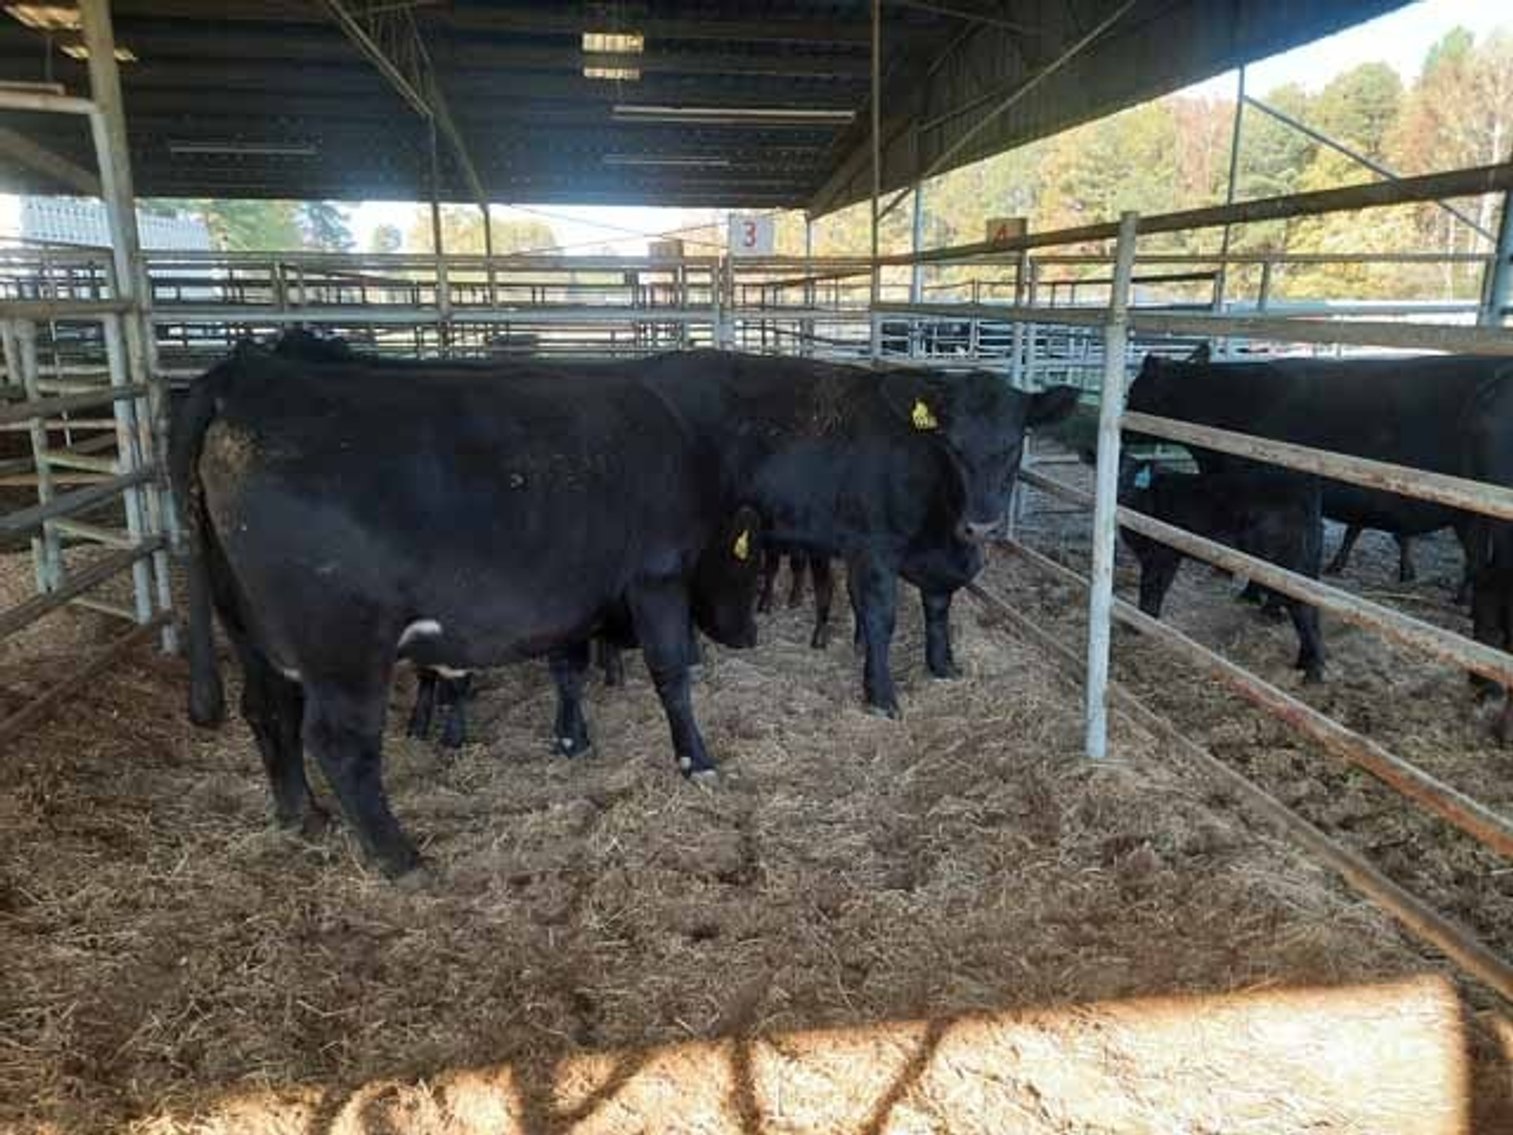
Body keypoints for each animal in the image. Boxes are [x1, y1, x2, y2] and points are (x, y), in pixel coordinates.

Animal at [172, 344, 765, 877]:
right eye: (751, 564)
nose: (749, 636)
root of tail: (247, 376)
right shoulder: (656, 578)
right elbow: (671, 675)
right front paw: (696, 761)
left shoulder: (569, 600)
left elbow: (568, 669)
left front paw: (572, 740)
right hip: (344, 645)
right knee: (339, 741)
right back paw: (401, 859)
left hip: (250, 630)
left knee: (270, 711)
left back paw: (303, 815)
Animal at [1119, 458, 1326, 682]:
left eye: (1127, 474)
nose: (1120, 494)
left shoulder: (1162, 553)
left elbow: (1151, 587)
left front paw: (1140, 623)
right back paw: (1304, 663)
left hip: (1284, 566)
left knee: (1302, 608)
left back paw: (1313, 671)